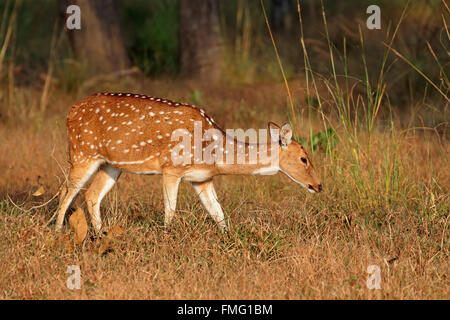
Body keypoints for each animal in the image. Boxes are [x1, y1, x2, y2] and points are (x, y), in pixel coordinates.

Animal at [56, 92, 322, 232]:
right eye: (304, 158)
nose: (319, 186)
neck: (213, 154)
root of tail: (70, 112)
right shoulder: (171, 168)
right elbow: (170, 210)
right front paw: (166, 238)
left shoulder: (202, 179)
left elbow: (218, 213)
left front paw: (228, 239)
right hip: (82, 153)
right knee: (66, 192)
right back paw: (57, 233)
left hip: (111, 164)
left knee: (91, 194)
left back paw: (100, 235)